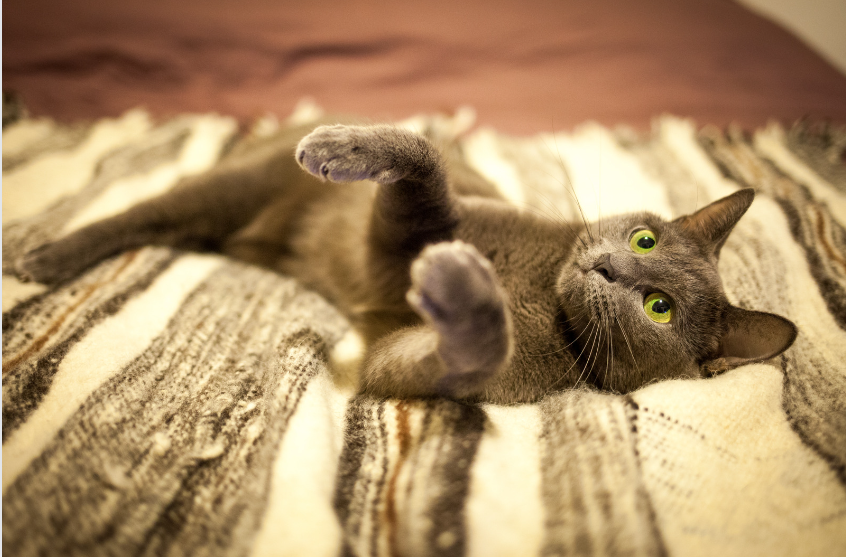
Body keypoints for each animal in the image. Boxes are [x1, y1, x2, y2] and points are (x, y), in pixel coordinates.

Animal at [19, 121, 800, 402]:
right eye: (644, 240)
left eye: (660, 308)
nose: (613, 271)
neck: (541, 286)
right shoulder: (414, 225)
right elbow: (425, 160)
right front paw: (342, 147)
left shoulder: (422, 362)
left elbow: (453, 354)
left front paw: (461, 292)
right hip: (232, 186)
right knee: (141, 212)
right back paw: (45, 256)